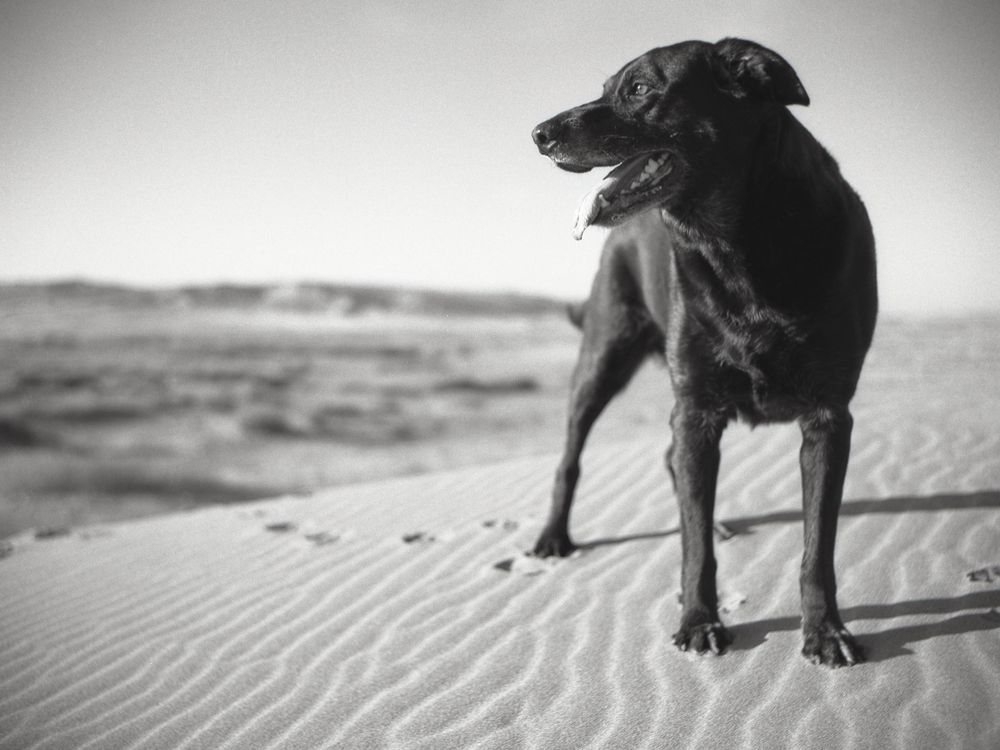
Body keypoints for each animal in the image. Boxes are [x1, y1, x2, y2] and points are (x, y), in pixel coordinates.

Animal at [530, 38, 877, 667]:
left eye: (640, 88)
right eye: (606, 87)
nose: (539, 134)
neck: (737, 249)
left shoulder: (828, 418)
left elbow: (818, 545)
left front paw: (825, 630)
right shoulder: (696, 408)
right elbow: (692, 547)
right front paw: (698, 620)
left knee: (673, 462)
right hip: (602, 359)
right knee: (573, 456)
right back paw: (553, 538)